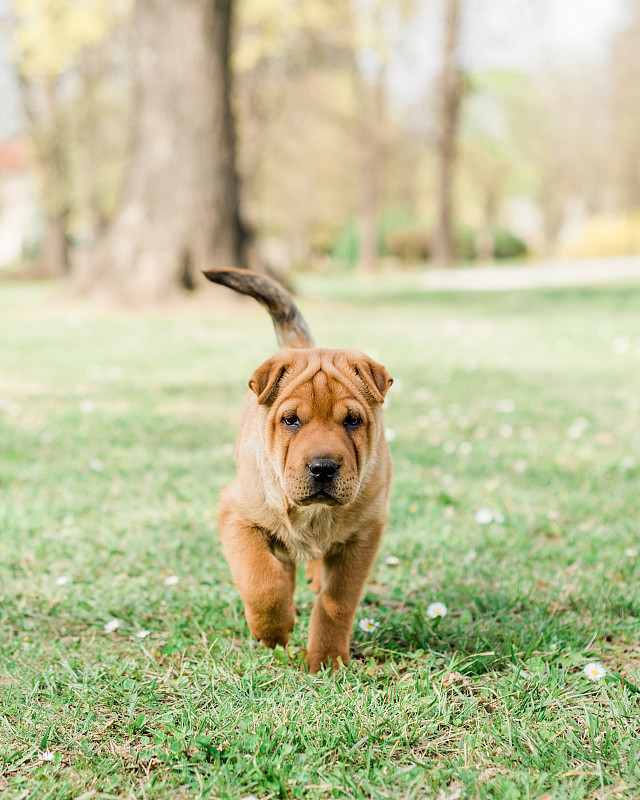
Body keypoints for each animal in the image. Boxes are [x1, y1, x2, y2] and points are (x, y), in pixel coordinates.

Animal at [202, 270, 392, 676]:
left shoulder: (364, 535)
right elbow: (261, 581)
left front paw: (327, 660)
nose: (322, 468)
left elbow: (338, 601)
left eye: (352, 421)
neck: (314, 512)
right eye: (291, 420)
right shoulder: (237, 514)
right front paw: (273, 631)